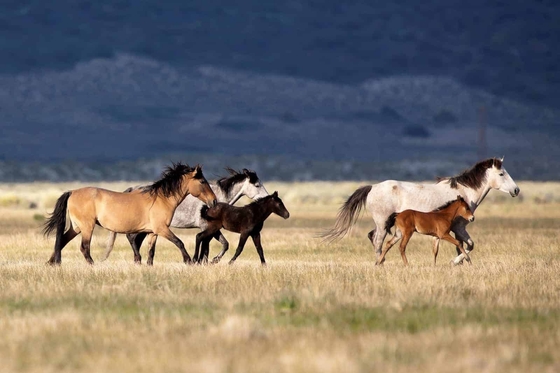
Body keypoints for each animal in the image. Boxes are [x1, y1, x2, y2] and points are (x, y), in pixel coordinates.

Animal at [42, 162, 218, 264]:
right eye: (202, 181)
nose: (214, 201)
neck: (161, 199)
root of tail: (72, 192)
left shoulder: (153, 232)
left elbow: (151, 252)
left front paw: (148, 266)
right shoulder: (162, 229)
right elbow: (179, 242)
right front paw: (188, 261)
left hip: (77, 227)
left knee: (62, 241)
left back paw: (52, 263)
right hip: (87, 227)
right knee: (84, 247)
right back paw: (92, 265)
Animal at [102, 167, 270, 264]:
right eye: (257, 185)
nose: (267, 198)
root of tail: (131, 189)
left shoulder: (212, 228)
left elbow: (224, 244)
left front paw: (212, 260)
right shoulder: (206, 227)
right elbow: (209, 246)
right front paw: (204, 261)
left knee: (136, 240)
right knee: (132, 238)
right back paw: (138, 260)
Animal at [322, 158, 524, 264]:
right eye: (501, 174)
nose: (516, 190)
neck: (464, 192)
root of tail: (372, 187)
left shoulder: (455, 230)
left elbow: (463, 245)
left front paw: (459, 263)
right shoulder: (459, 227)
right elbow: (468, 245)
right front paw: (456, 262)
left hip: (387, 225)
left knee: (374, 238)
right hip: (382, 222)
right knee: (378, 241)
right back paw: (380, 263)